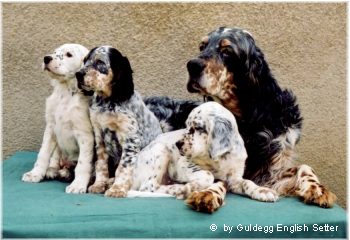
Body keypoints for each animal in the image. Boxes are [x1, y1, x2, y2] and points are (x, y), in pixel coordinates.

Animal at [21, 43, 94, 193]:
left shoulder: (85, 134)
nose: (46, 58)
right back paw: (53, 170)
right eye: (55, 52)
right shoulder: (50, 128)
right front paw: (34, 174)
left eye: (69, 54)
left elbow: (83, 163)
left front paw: (78, 185)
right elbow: (43, 154)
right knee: (55, 158)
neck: (65, 92)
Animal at [75, 46, 163, 198]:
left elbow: (123, 167)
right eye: (85, 61)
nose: (78, 75)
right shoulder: (99, 136)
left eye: (99, 62)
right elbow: (101, 164)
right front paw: (99, 185)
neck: (107, 101)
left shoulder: (130, 139)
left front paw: (117, 189)